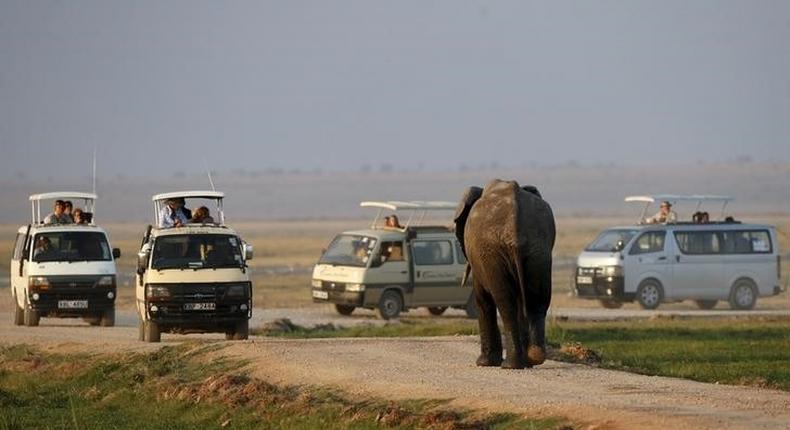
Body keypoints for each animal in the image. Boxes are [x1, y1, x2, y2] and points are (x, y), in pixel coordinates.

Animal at [454, 178, 560, 370]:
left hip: (493, 251)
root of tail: (514, 227)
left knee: (505, 303)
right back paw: (533, 358)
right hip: (538, 249)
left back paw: (511, 365)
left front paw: (484, 363)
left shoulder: (480, 259)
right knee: (537, 301)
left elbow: (482, 299)